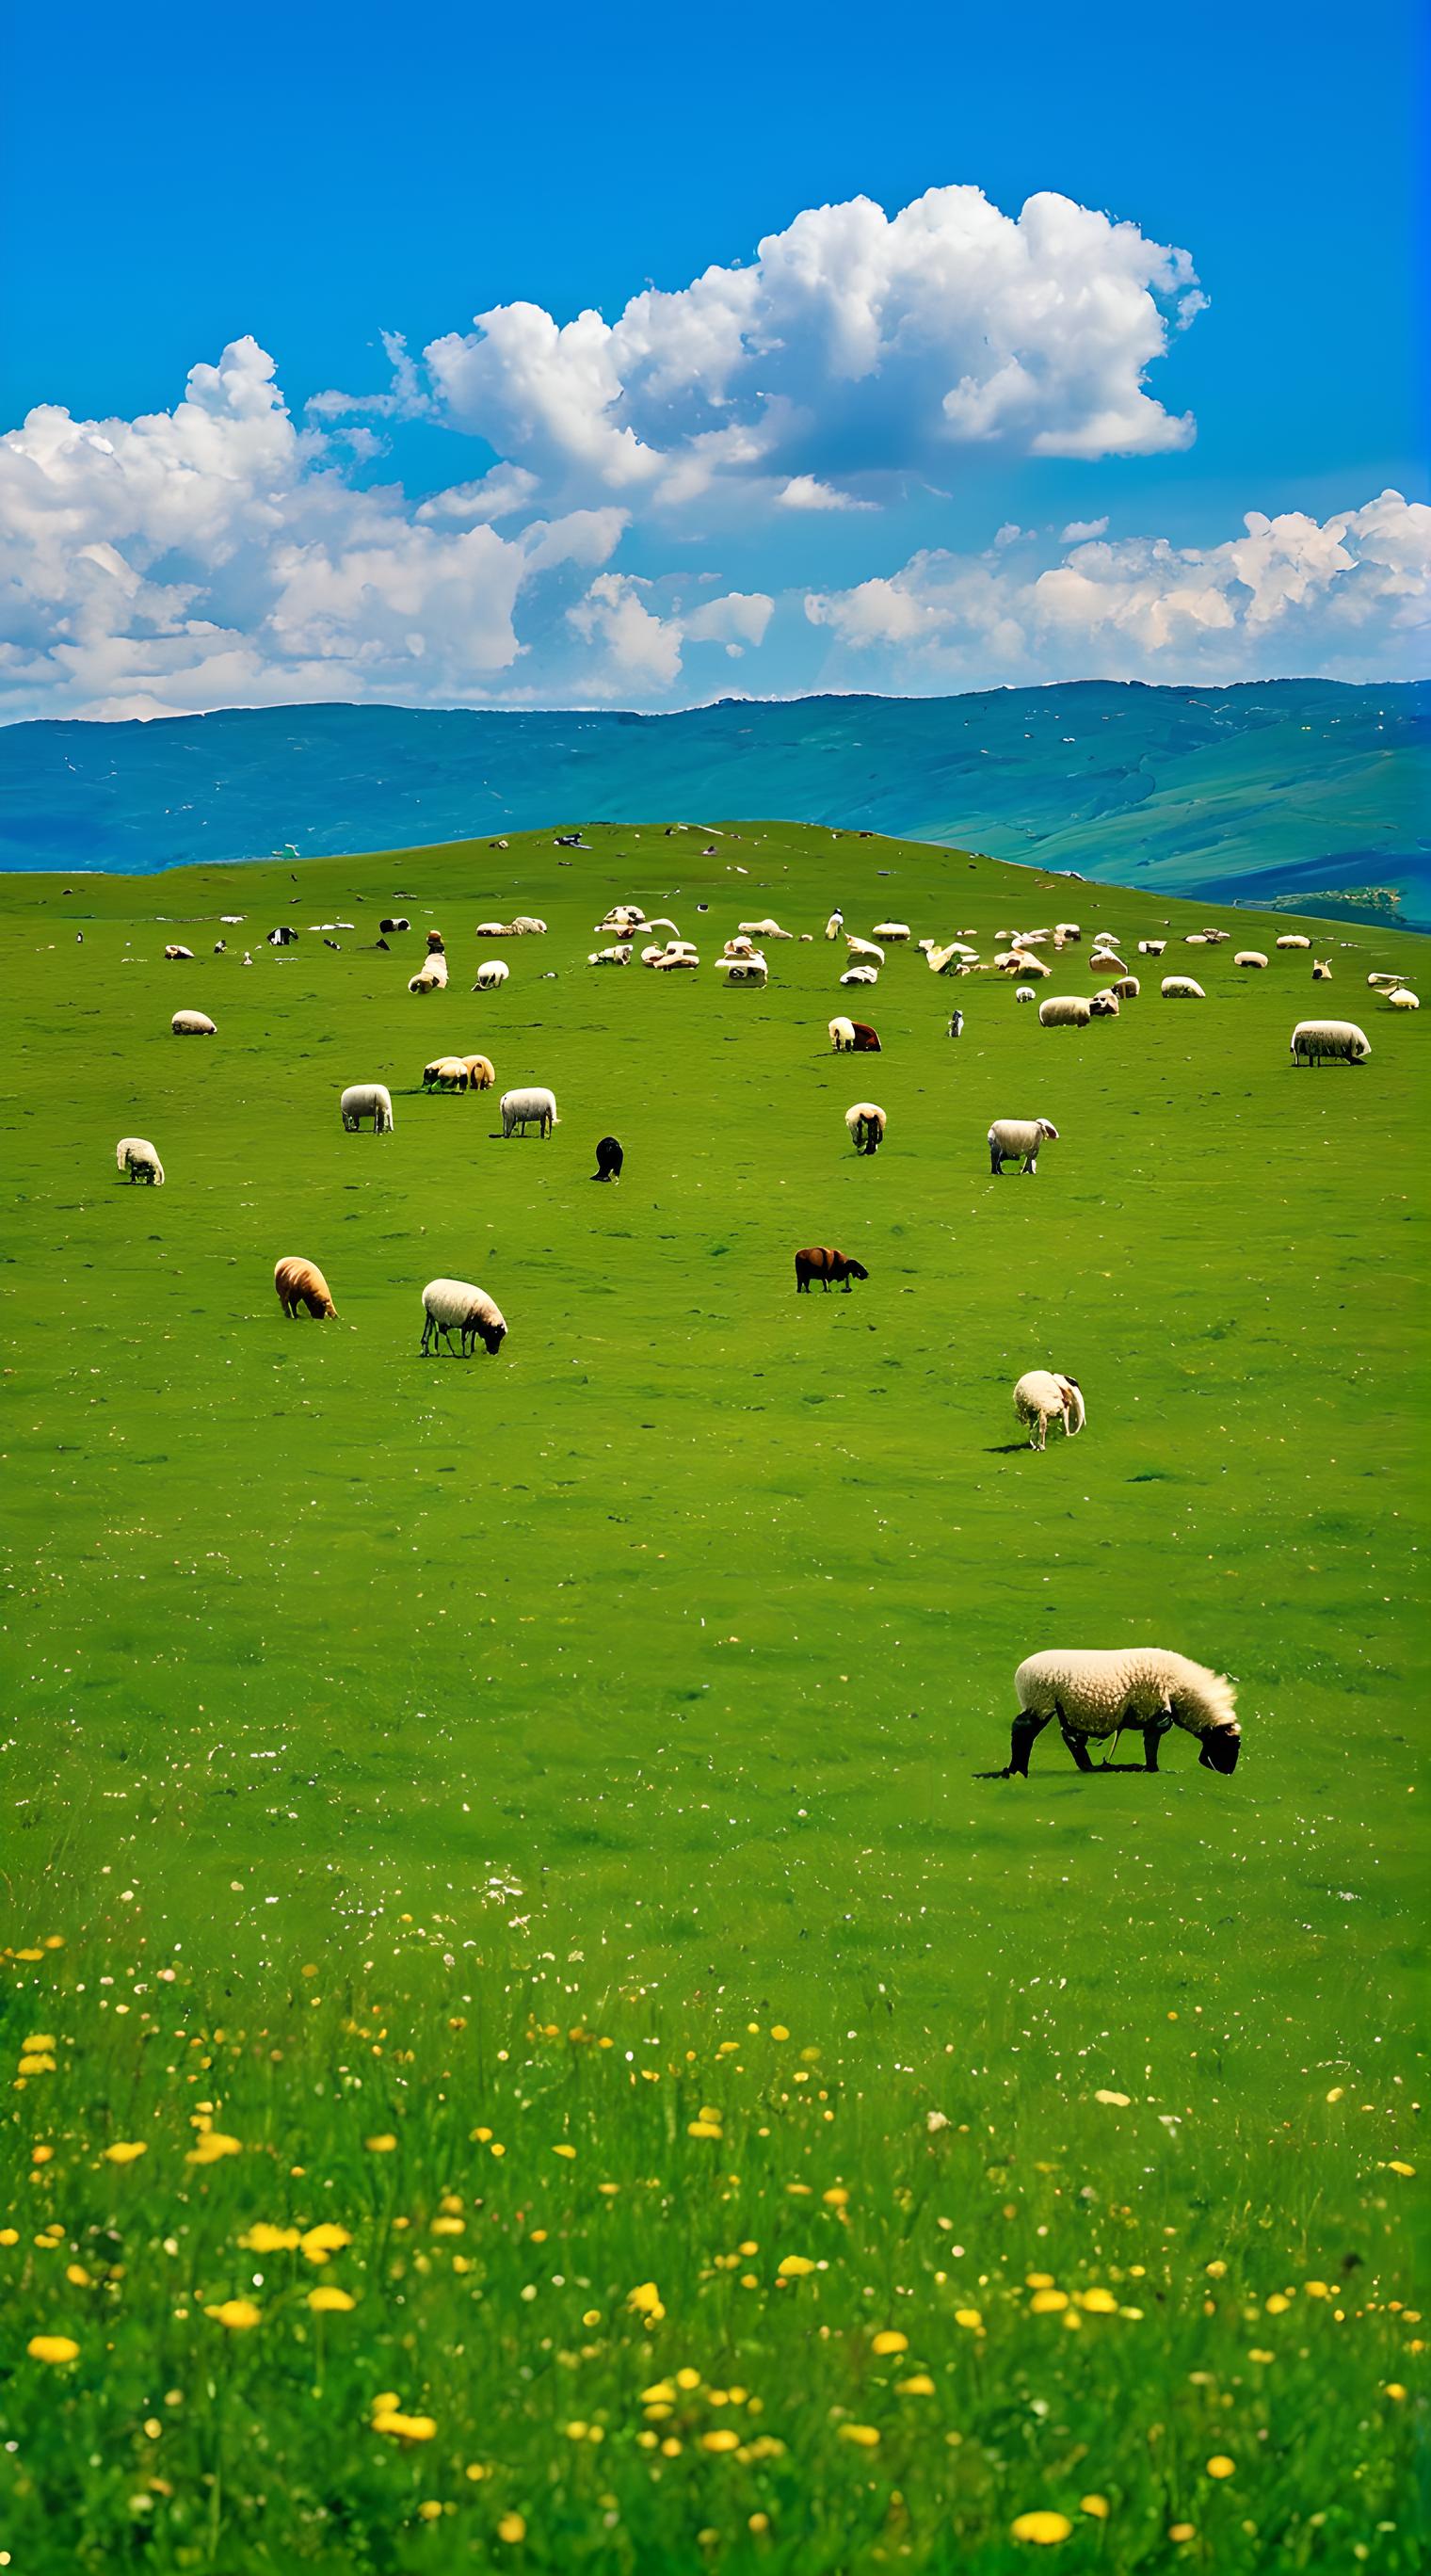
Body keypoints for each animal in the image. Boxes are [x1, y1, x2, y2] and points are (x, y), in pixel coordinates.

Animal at [993, 1649, 1240, 1772]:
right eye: (1226, 1745)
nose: (1227, 1771)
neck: (1181, 1690)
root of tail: (1021, 1672)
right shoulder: (1155, 1713)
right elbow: (1151, 1743)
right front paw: (1152, 1768)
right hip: (1041, 1702)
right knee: (1023, 1730)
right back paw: (1017, 1769)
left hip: (1060, 1708)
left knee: (1071, 1738)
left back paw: (1090, 1767)